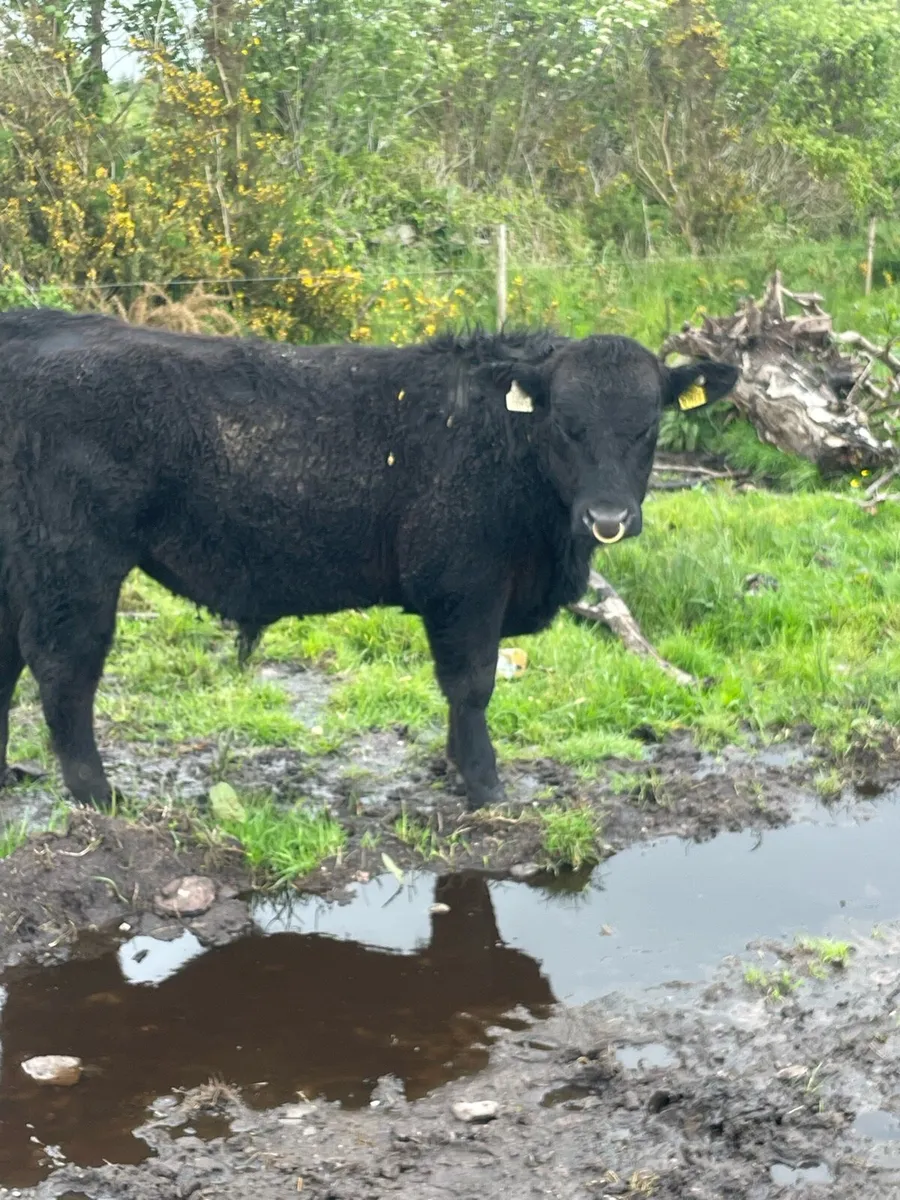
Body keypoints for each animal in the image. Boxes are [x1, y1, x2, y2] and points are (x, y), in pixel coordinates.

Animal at [0, 308, 738, 811]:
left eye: (649, 425)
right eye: (565, 423)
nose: (607, 518)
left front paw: (456, 766)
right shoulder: (464, 585)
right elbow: (472, 683)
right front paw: (484, 782)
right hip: (74, 562)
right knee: (64, 668)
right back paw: (98, 794)